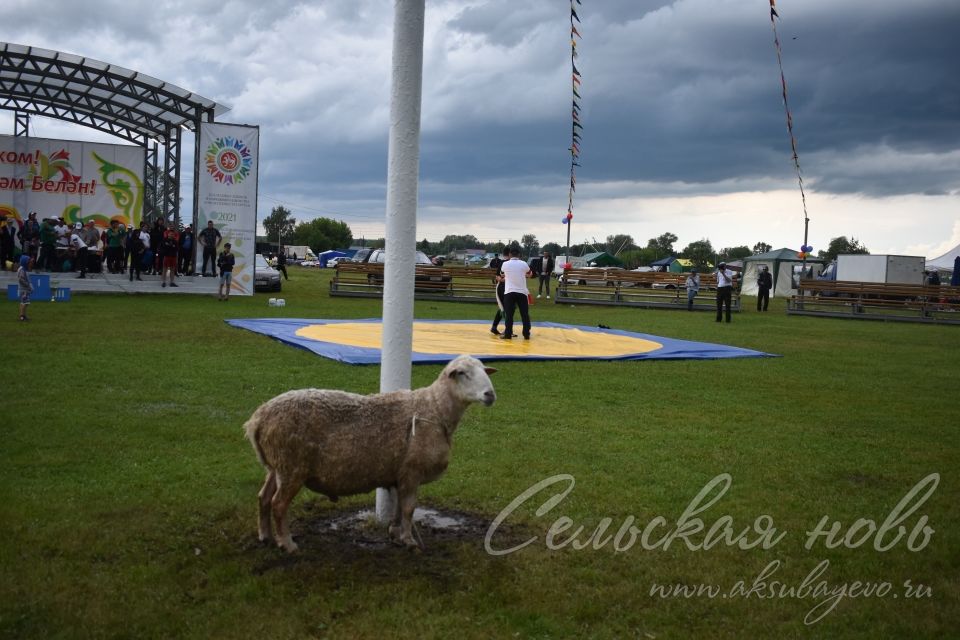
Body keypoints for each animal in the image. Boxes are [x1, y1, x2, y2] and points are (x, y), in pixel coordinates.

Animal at [244, 352, 498, 552]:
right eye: (462, 373)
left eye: (485, 370)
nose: (490, 394)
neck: (433, 409)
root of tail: (257, 419)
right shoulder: (412, 471)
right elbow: (409, 508)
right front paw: (409, 540)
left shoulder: (401, 475)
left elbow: (399, 507)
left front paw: (395, 533)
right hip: (291, 467)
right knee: (278, 504)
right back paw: (287, 544)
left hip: (276, 466)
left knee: (263, 497)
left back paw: (265, 536)